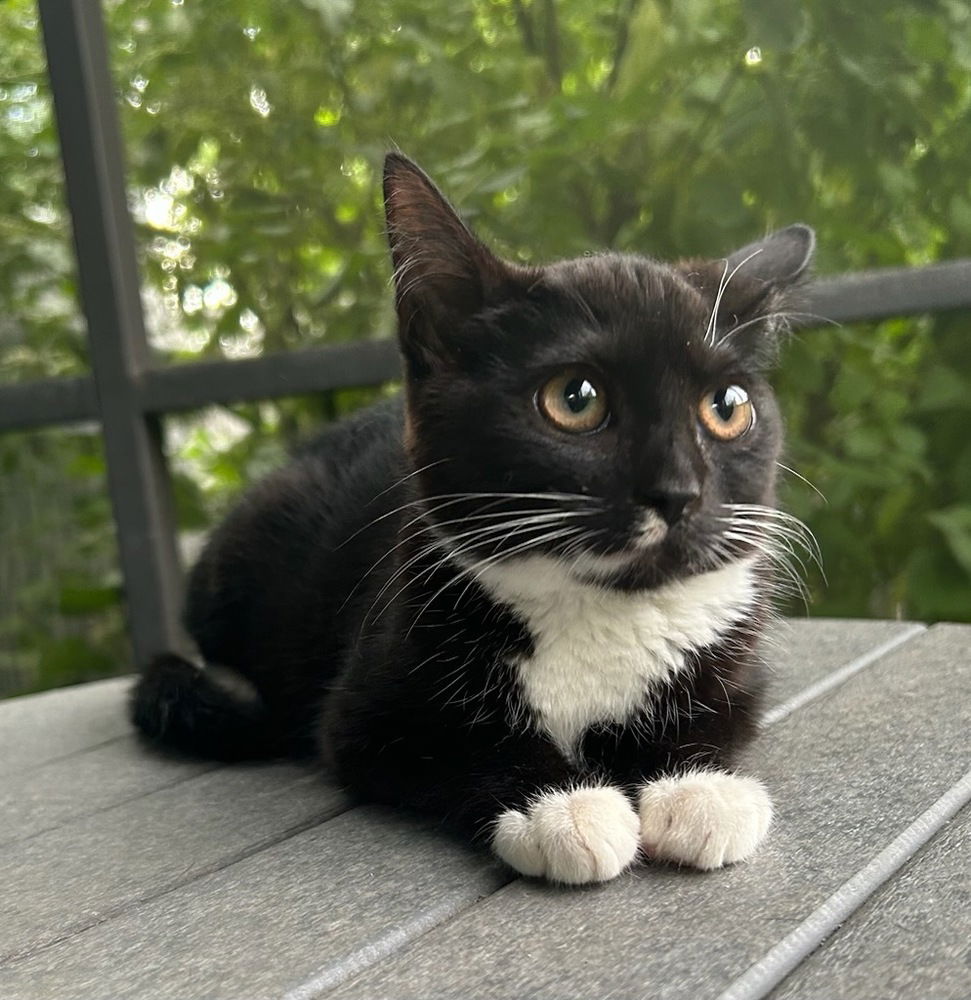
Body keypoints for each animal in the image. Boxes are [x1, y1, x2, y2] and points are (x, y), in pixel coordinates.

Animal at [133, 152, 816, 888]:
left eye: (727, 406)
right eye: (574, 399)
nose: (676, 492)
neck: (602, 612)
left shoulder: (737, 661)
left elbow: (721, 715)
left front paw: (698, 788)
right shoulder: (367, 702)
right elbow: (451, 742)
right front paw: (561, 806)